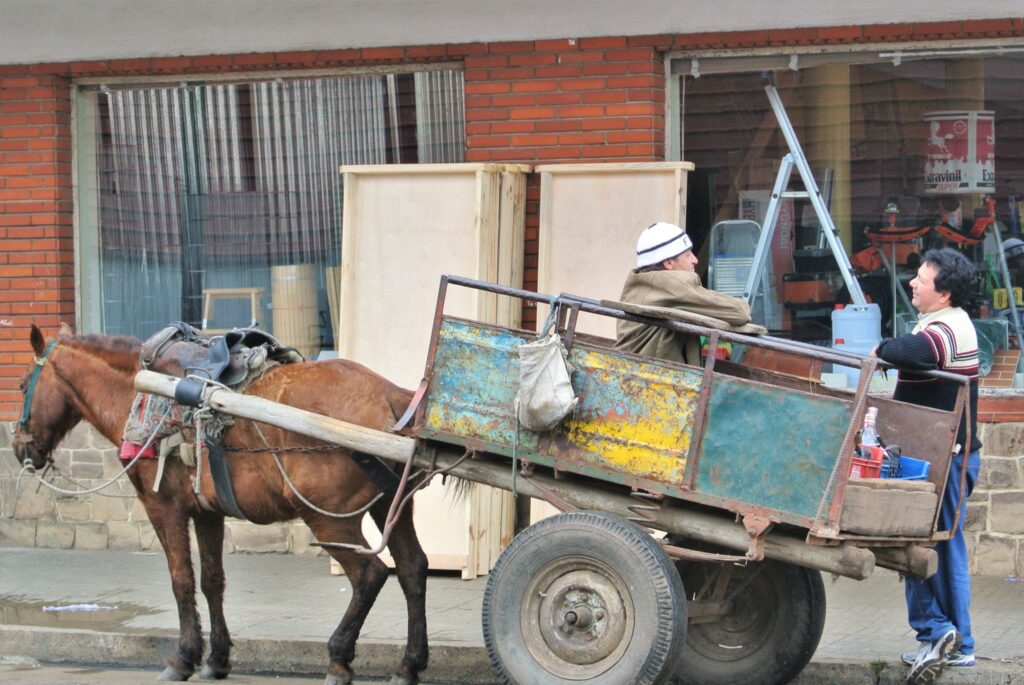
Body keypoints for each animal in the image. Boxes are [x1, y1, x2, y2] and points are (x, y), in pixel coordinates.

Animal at [12, 325, 428, 683]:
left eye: (21, 384)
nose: (19, 447)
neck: (139, 391)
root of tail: (388, 395)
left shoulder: (163, 507)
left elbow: (181, 579)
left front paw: (183, 658)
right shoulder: (207, 513)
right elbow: (212, 580)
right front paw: (217, 658)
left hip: (329, 518)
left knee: (370, 575)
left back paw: (339, 658)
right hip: (390, 505)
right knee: (412, 568)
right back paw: (409, 664)